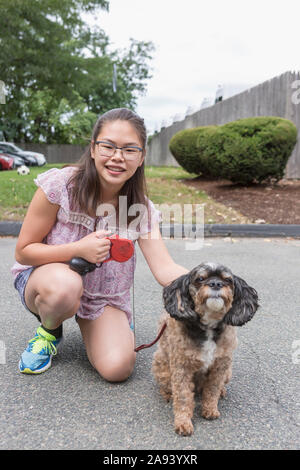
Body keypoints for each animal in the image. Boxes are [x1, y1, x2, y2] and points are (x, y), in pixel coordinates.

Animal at [151, 262, 258, 436]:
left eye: (227, 280)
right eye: (200, 279)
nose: (215, 284)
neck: (208, 327)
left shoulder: (220, 366)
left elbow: (212, 389)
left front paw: (210, 409)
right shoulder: (181, 367)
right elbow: (183, 396)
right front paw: (183, 422)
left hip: (228, 372)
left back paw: (222, 391)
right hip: (161, 365)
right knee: (168, 386)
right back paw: (168, 394)